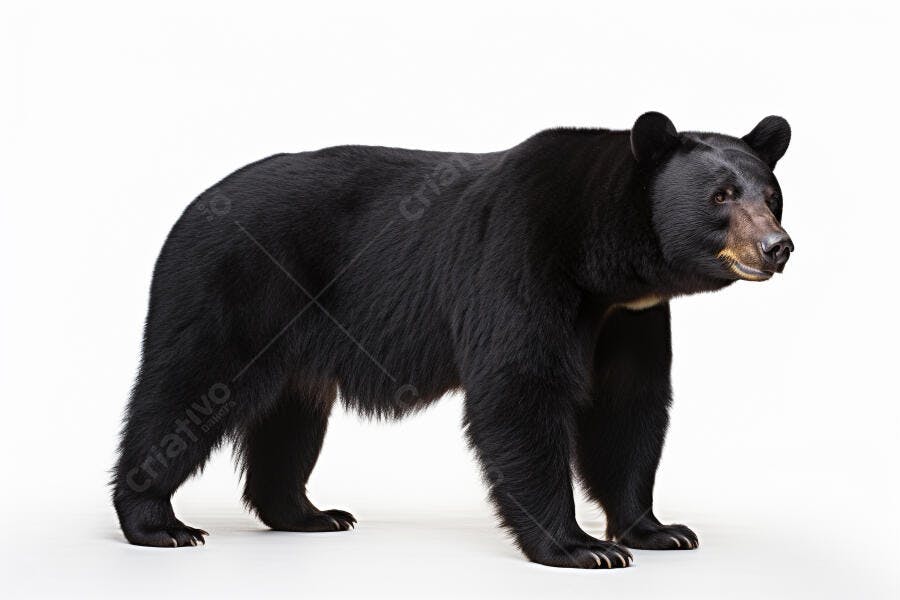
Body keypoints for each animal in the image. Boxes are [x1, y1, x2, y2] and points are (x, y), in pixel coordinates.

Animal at [112, 112, 793, 568]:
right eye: (720, 196)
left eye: (772, 194)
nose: (777, 247)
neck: (602, 261)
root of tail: (192, 207)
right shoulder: (522, 254)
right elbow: (521, 389)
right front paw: (578, 546)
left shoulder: (630, 318)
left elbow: (628, 406)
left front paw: (658, 529)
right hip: (234, 286)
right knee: (187, 387)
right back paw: (159, 522)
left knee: (291, 416)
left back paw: (309, 514)